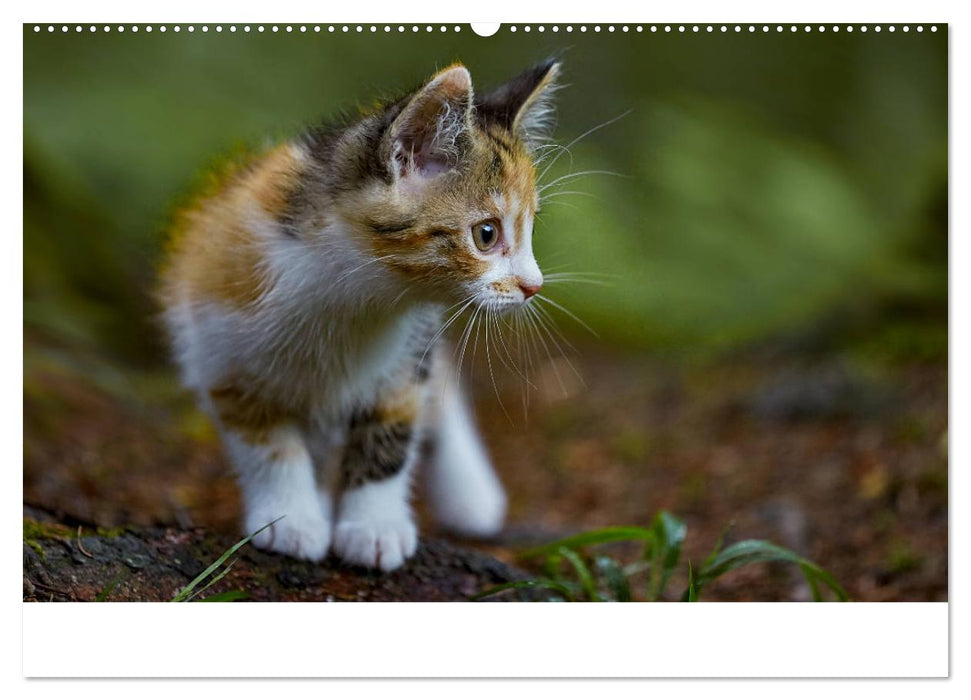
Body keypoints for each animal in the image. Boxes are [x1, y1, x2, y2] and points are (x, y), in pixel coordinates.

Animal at [161, 60, 560, 572]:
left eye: (529, 231)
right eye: (486, 234)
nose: (534, 286)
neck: (358, 295)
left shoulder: (409, 351)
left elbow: (392, 434)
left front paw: (373, 528)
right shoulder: (220, 349)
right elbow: (268, 446)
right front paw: (291, 520)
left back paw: (470, 495)